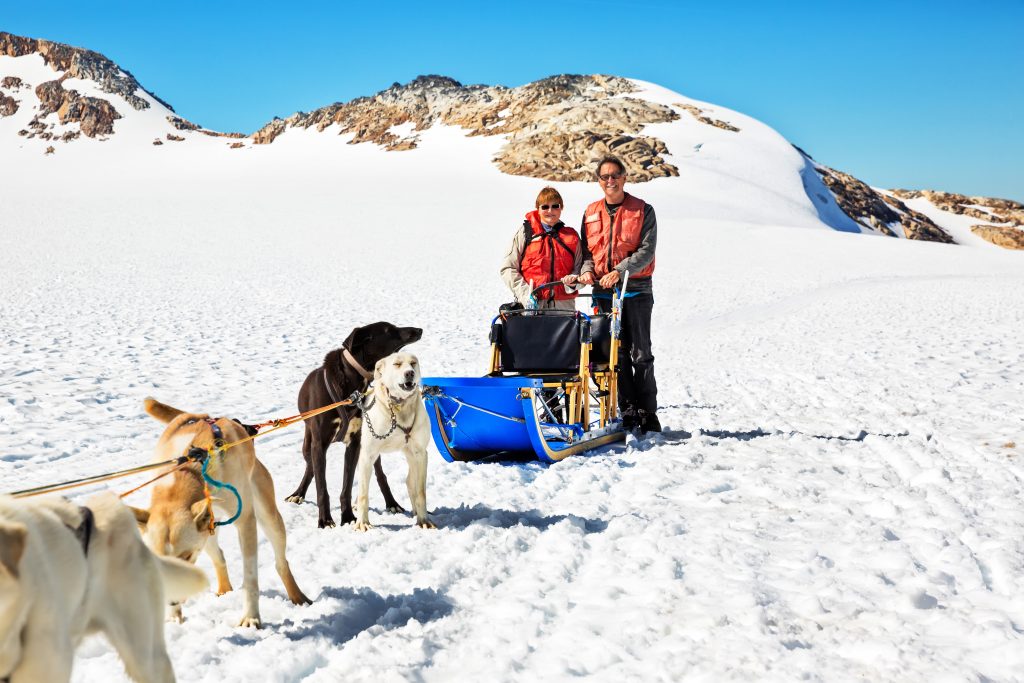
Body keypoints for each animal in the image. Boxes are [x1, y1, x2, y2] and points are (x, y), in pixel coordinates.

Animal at [132, 397, 309, 626]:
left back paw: (297, 595)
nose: (171, 601)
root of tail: (201, 416)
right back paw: (224, 589)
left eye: (187, 556)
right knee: (220, 557)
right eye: (158, 560)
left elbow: (250, 578)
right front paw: (173, 616)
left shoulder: (246, 522)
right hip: (207, 531)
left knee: (281, 562)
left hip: (268, 516)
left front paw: (250, 617)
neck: (191, 469)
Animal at [284, 321, 419, 528]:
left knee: (380, 474)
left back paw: (392, 503)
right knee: (310, 467)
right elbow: (321, 486)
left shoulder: (355, 444)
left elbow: (347, 487)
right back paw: (298, 493)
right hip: (308, 444)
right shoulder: (319, 444)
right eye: (389, 330)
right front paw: (325, 519)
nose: (418, 330)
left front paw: (347, 517)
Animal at [354, 352, 434, 532]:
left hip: (413, 457)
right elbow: (363, 494)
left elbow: (421, 492)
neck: (398, 408)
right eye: (397, 364)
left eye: (413, 363)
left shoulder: (420, 453)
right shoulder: (367, 455)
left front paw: (423, 519)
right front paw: (362, 522)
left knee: (410, 482)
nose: (409, 373)